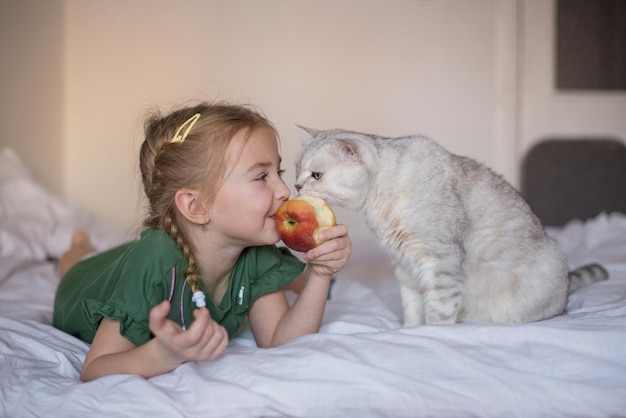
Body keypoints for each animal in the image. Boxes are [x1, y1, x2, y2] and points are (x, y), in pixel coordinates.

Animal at [292, 127, 604, 326]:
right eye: (297, 170)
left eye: (316, 175)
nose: (295, 186)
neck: (380, 202)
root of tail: (567, 286)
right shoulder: (405, 267)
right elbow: (412, 309)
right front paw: (408, 333)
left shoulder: (439, 262)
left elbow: (438, 313)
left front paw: (432, 337)